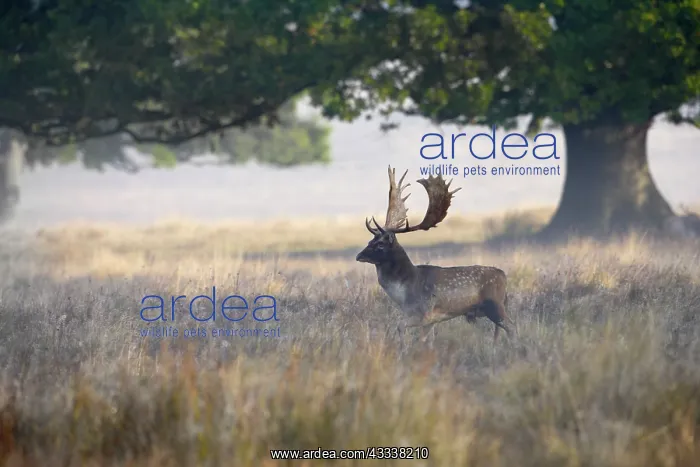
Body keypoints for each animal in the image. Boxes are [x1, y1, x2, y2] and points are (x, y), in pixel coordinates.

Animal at [356, 166, 512, 343]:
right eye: (371, 240)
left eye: (380, 244)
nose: (359, 256)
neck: (404, 294)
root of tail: (504, 276)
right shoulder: (430, 320)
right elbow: (424, 339)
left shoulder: (425, 312)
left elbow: (400, 327)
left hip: (495, 305)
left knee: (512, 326)